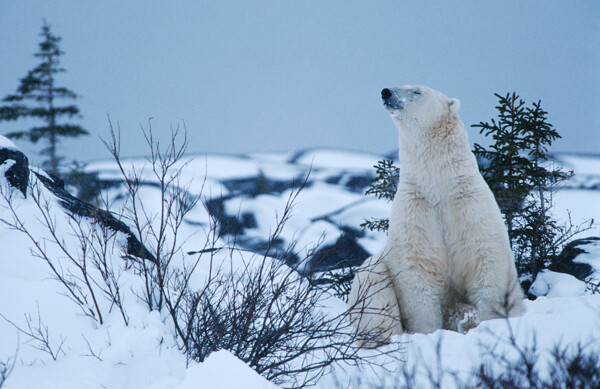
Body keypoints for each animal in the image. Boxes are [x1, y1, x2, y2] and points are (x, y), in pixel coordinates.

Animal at [350, 85, 524, 346]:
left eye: (417, 91)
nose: (386, 92)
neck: (440, 187)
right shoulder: (416, 213)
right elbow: (419, 277)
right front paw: (429, 333)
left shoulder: (470, 209)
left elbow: (485, 265)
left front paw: (486, 324)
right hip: (375, 273)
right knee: (372, 290)